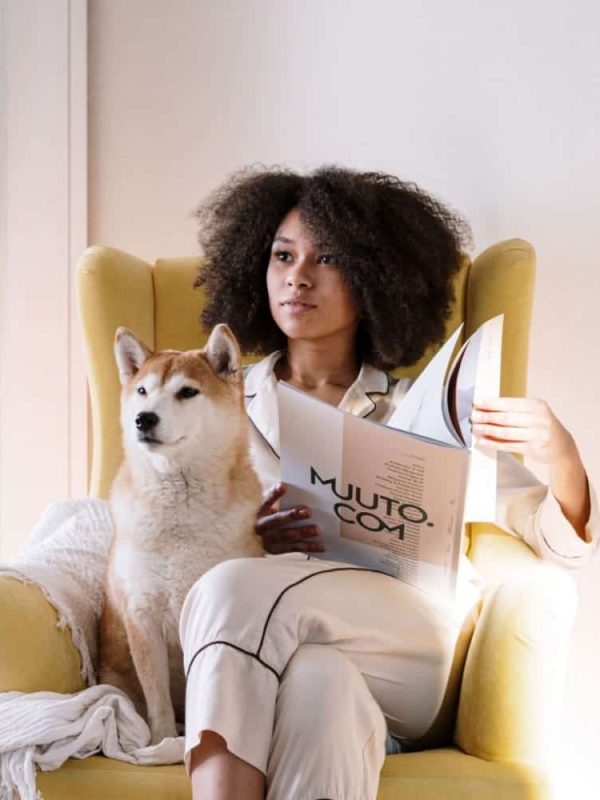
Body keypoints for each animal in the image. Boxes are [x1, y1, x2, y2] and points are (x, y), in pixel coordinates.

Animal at [98, 320, 262, 744]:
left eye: (187, 392)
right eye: (142, 390)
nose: (144, 418)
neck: (180, 519)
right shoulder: (142, 617)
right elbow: (157, 698)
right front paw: (161, 740)